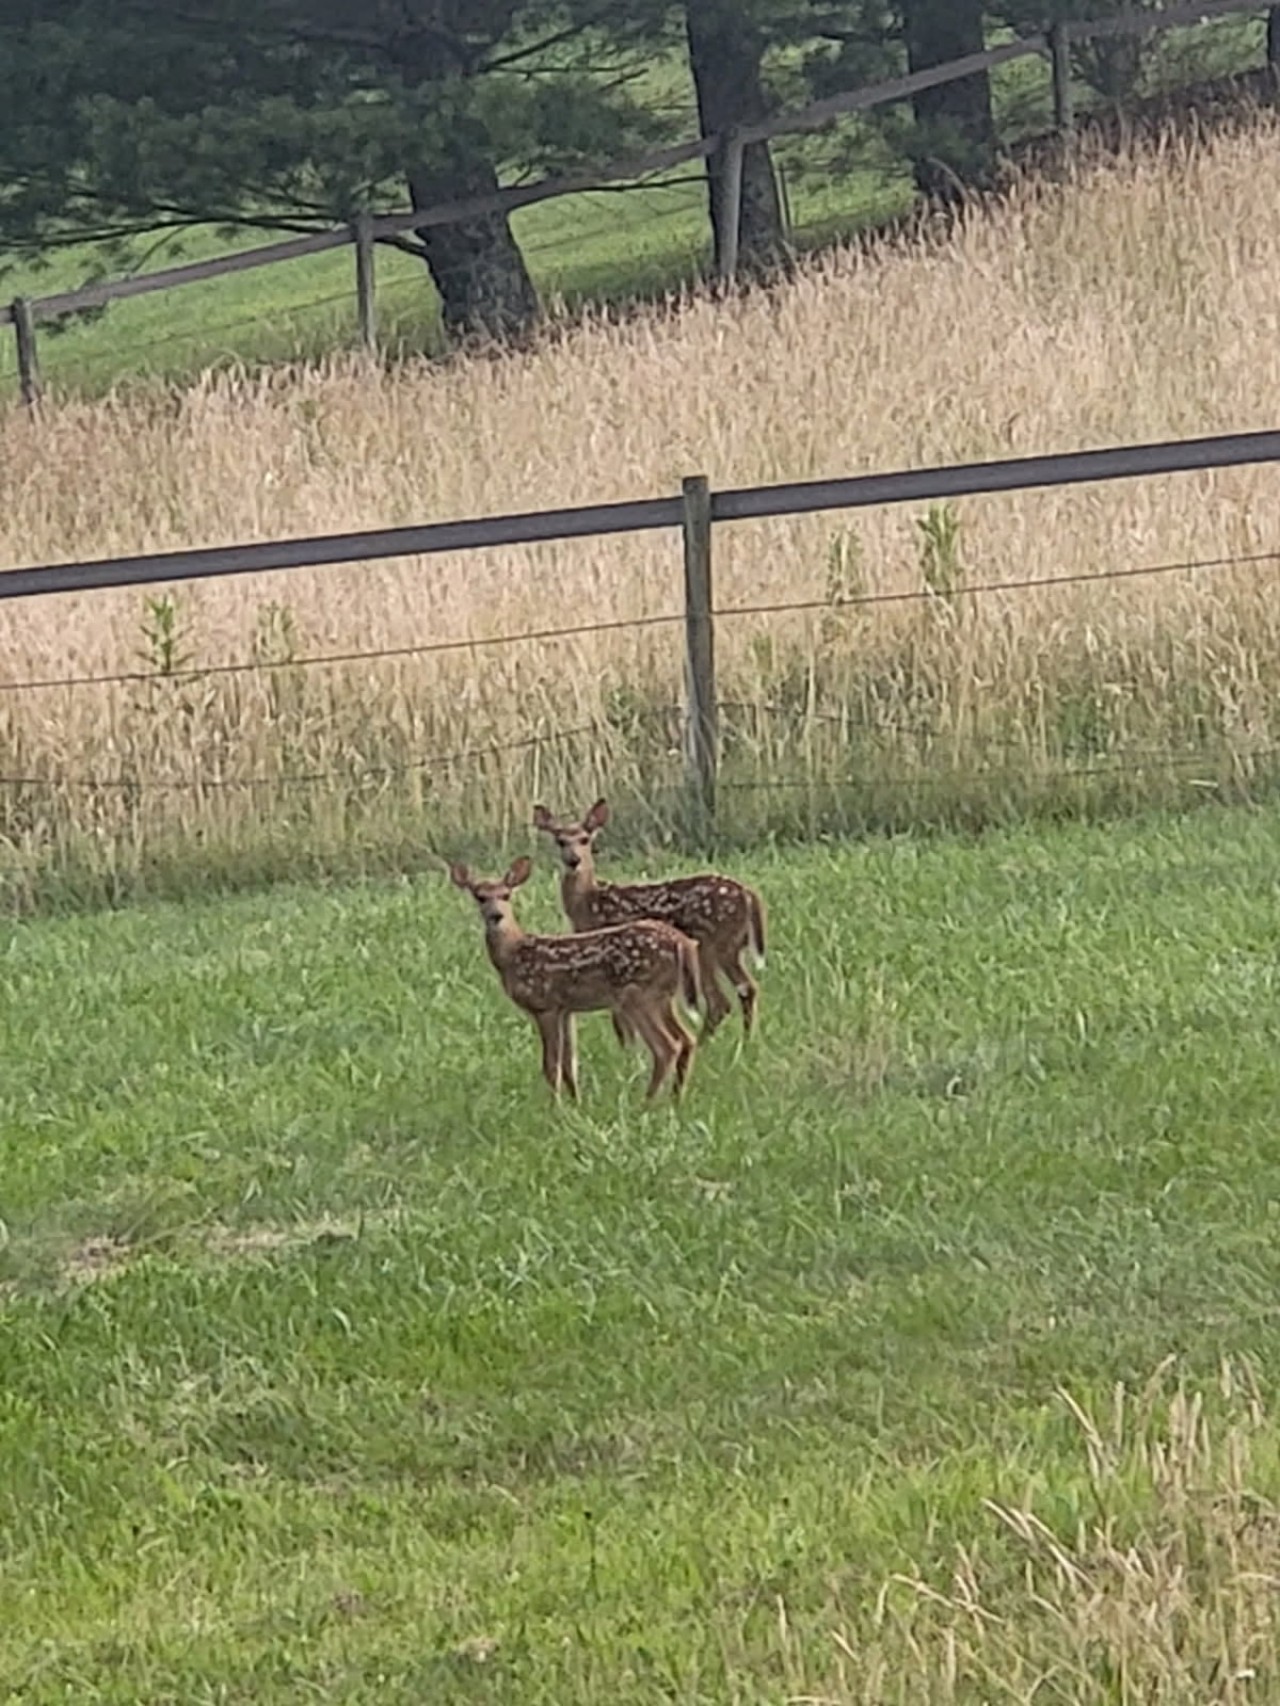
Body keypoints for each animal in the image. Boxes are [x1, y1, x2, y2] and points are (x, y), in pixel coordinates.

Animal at [449, 855, 702, 1101]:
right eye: (480, 896)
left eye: (506, 895)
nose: (496, 915)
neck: (514, 953)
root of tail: (682, 941)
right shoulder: (566, 1010)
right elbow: (570, 1063)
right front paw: (576, 1103)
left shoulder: (546, 1006)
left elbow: (551, 1065)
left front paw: (555, 1107)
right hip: (663, 996)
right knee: (687, 1038)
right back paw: (675, 1099)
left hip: (638, 995)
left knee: (666, 1046)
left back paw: (646, 1103)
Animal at [532, 798, 766, 1040]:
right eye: (560, 841)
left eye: (585, 839)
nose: (574, 860)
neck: (590, 902)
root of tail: (748, 895)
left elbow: (620, 1021)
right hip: (729, 947)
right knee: (746, 987)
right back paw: (746, 1038)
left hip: (710, 946)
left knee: (720, 1000)